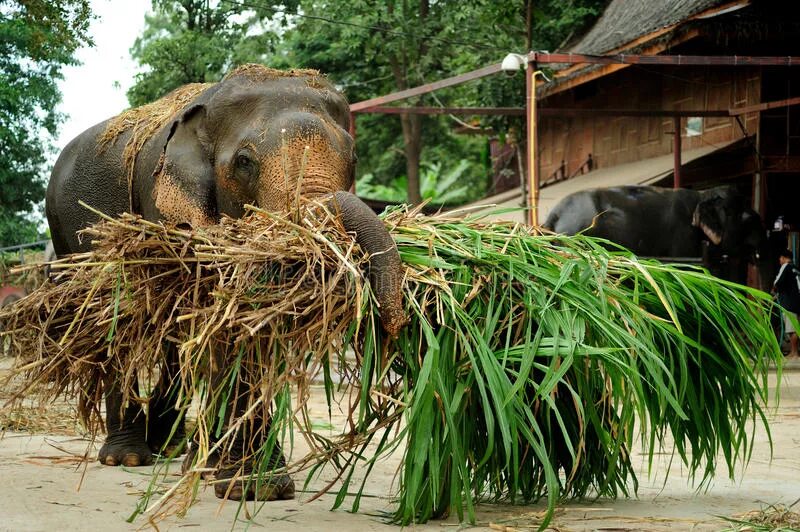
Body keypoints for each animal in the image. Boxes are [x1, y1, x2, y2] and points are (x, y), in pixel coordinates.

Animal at [45, 64, 406, 500]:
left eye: (353, 158)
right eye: (244, 162)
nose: (395, 324)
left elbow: (248, 322)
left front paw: (240, 477)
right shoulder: (169, 208)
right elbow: (217, 319)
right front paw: (248, 486)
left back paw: (169, 448)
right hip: (72, 234)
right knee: (117, 321)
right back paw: (127, 456)